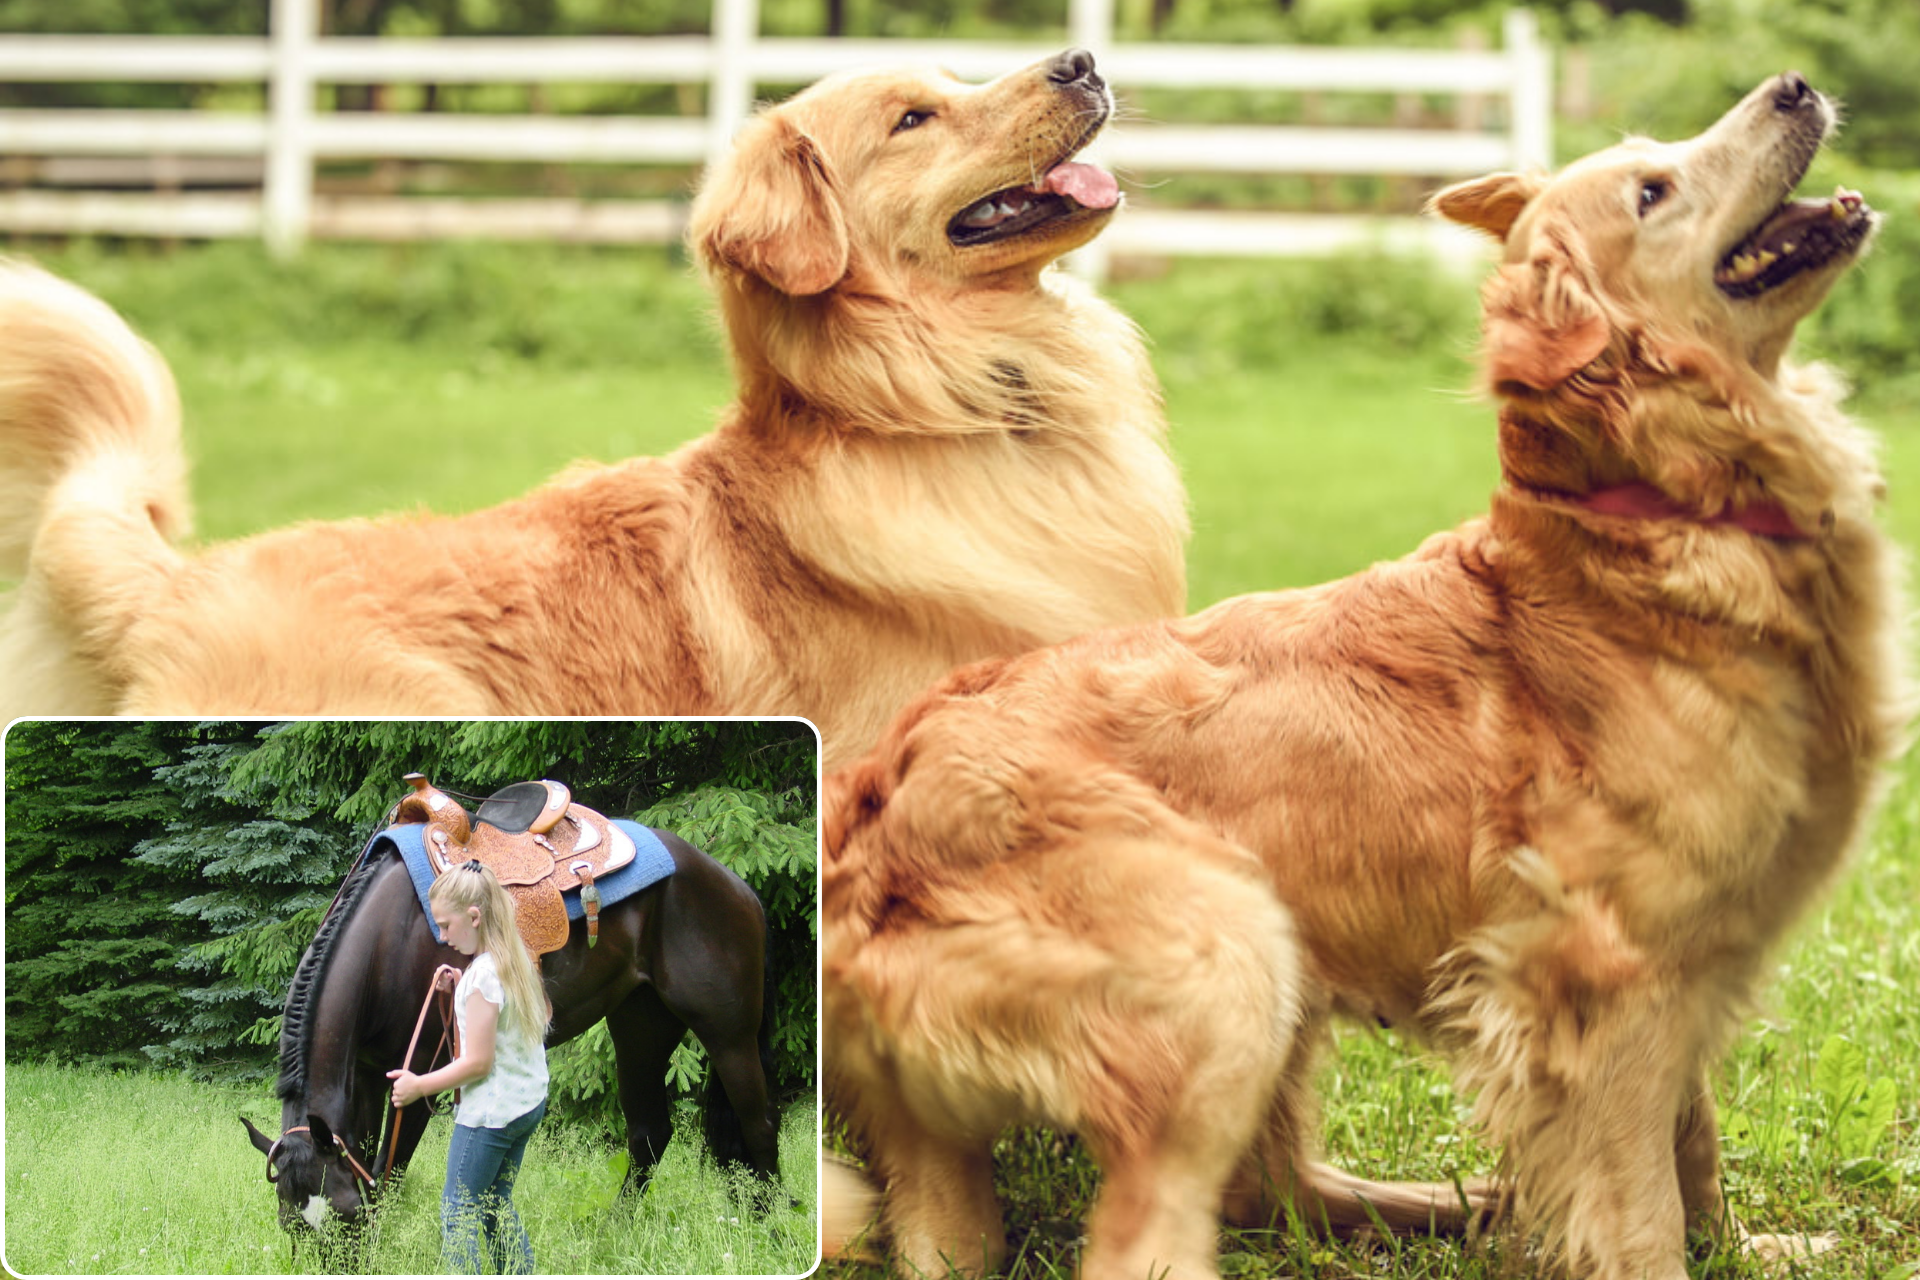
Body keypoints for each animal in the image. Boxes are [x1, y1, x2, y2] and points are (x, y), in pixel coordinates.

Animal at [243, 790, 783, 1243]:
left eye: (344, 1217)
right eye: (292, 1227)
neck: (389, 940)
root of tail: (739, 887)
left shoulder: (423, 1075)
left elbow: (389, 1177)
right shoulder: (373, 1073)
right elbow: (370, 1168)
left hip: (729, 1034)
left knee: (759, 1124)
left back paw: (771, 1229)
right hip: (640, 1029)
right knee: (650, 1133)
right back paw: (616, 1232)